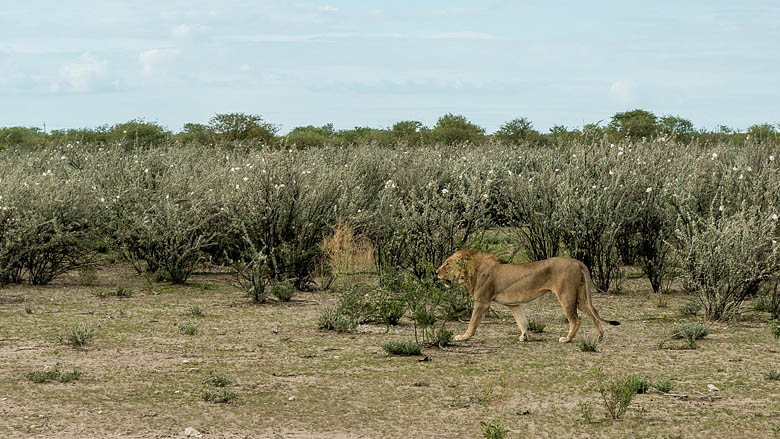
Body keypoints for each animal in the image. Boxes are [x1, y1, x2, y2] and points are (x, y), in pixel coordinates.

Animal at [436, 251, 620, 344]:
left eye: (447, 264)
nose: (436, 272)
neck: (472, 269)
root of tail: (575, 261)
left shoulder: (482, 302)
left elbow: (473, 323)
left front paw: (463, 337)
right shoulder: (514, 304)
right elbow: (522, 321)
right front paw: (524, 336)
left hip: (566, 295)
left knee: (576, 320)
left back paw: (567, 339)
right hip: (580, 298)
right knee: (594, 313)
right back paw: (600, 336)